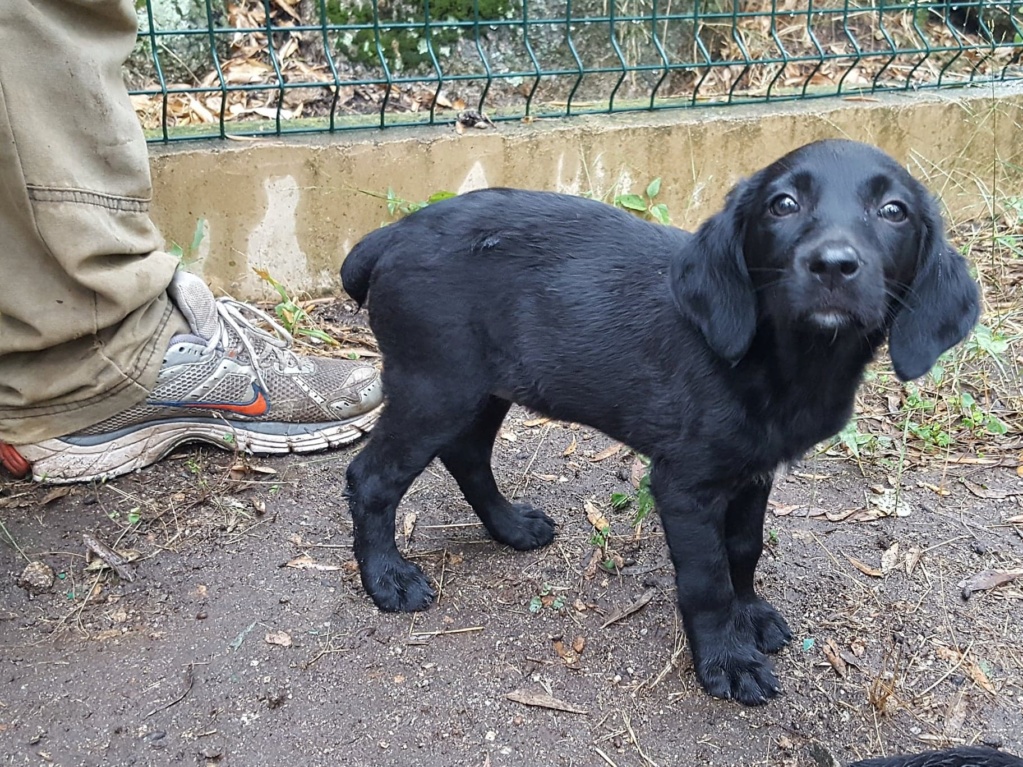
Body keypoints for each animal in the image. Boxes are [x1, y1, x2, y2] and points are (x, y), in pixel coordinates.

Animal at [339, 140, 977, 707]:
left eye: (893, 211)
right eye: (783, 204)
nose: (833, 266)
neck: (785, 360)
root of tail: (390, 235)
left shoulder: (753, 472)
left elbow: (743, 548)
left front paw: (750, 614)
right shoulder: (685, 484)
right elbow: (707, 580)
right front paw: (728, 659)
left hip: (485, 386)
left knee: (467, 453)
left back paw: (511, 527)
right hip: (434, 387)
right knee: (372, 478)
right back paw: (387, 578)